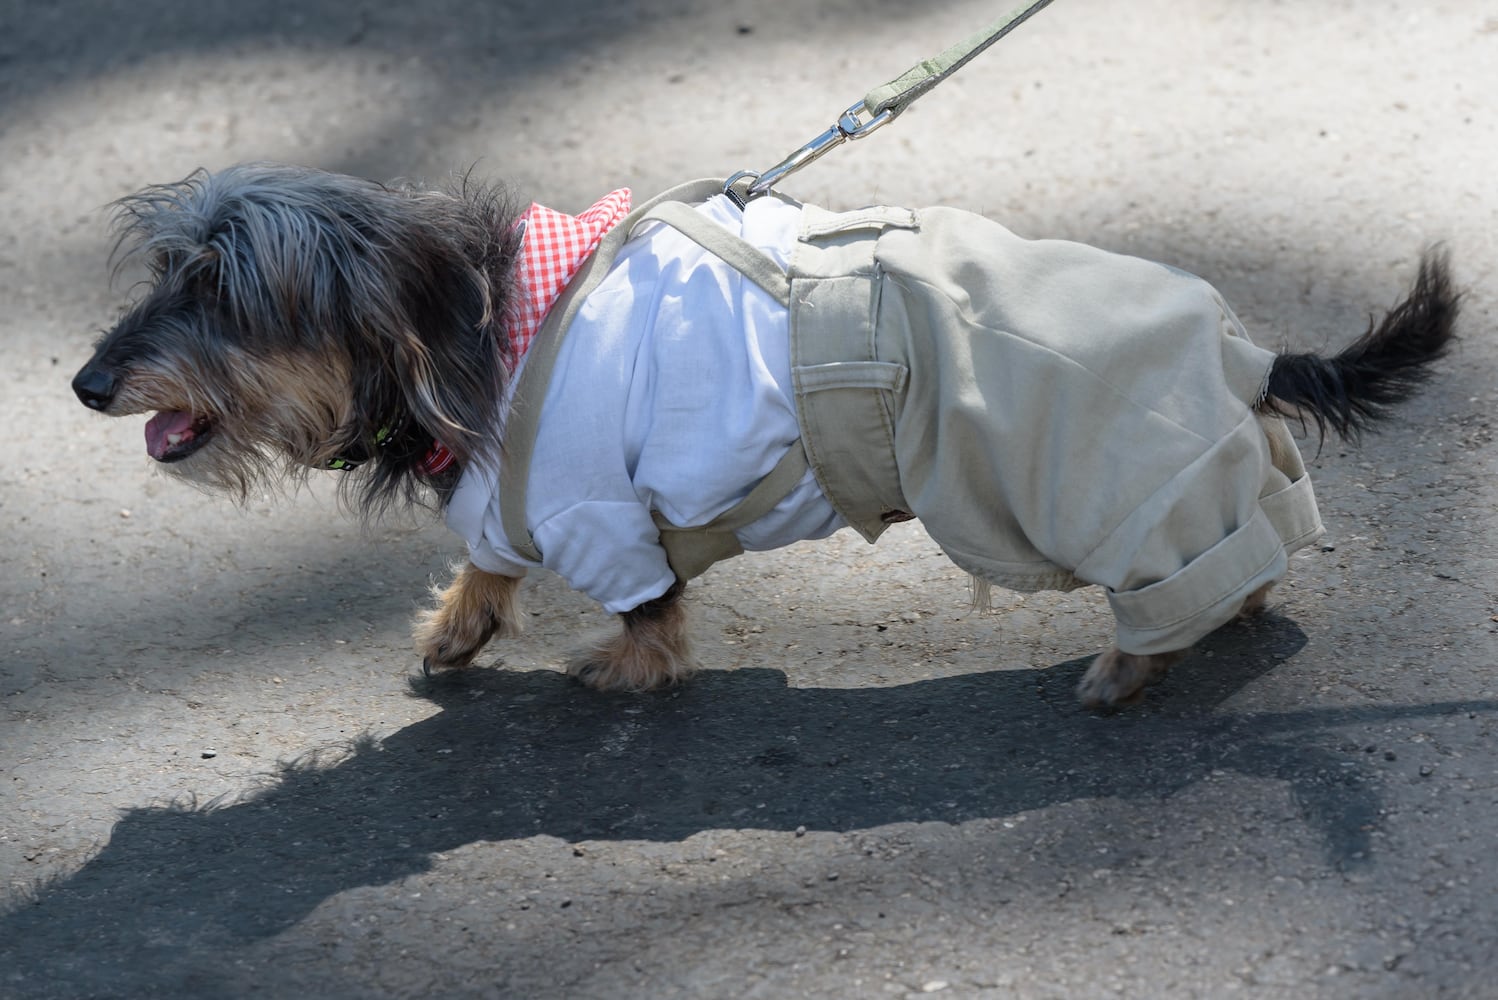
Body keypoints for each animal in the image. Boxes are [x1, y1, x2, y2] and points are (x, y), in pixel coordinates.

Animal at [73, 163, 1462, 706]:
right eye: (165, 271)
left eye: (219, 289)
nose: (87, 380)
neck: (479, 331)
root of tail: (1240, 346)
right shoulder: (514, 499)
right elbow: (486, 556)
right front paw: (459, 625)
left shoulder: (592, 507)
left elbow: (645, 607)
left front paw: (628, 665)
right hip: (1195, 458)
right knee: (1258, 527)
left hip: (1078, 478)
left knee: (1177, 563)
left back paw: (1131, 663)